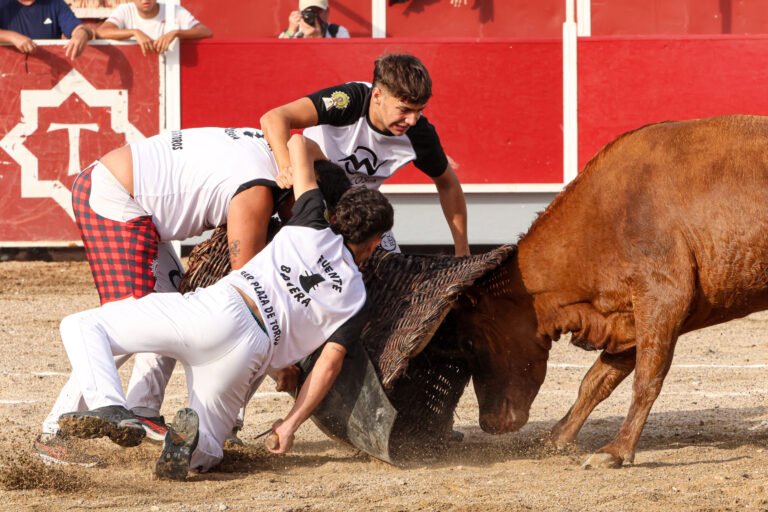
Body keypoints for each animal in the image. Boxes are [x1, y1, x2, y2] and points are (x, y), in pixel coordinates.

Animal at [460, 115, 768, 468]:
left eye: (473, 342)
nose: (488, 423)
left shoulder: (662, 298)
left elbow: (646, 378)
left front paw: (616, 451)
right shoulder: (629, 316)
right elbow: (597, 380)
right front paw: (557, 438)